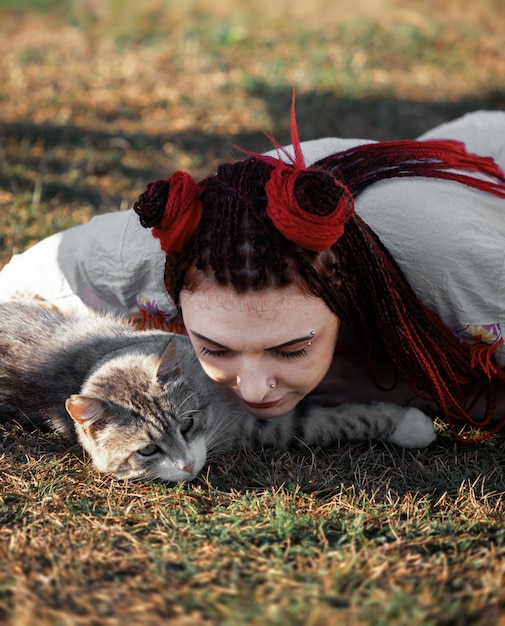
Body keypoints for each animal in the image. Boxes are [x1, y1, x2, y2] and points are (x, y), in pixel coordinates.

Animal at [0, 300, 434, 480]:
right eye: (146, 451)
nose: (187, 466)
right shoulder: (269, 426)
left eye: (186, 426)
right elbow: (328, 422)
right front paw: (411, 425)